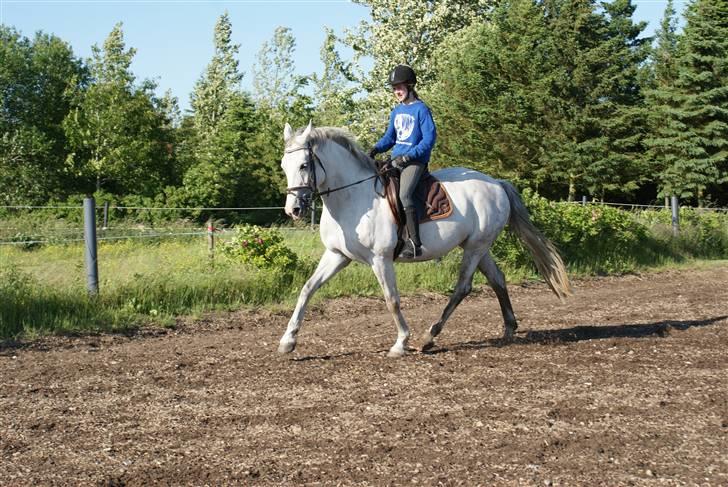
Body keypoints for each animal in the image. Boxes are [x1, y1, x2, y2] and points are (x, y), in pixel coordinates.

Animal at [278, 122, 568, 358]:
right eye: (283, 166)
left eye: (304, 165)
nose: (294, 209)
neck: (353, 198)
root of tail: (497, 183)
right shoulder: (337, 255)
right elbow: (307, 289)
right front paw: (287, 341)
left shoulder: (380, 259)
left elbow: (391, 299)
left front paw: (400, 343)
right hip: (478, 246)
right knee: (497, 278)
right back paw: (508, 328)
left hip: (475, 248)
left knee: (463, 287)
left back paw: (429, 336)